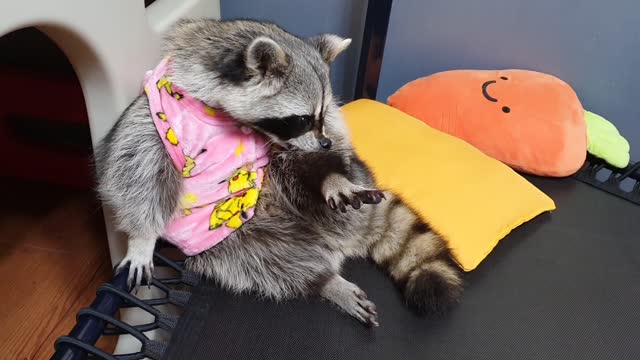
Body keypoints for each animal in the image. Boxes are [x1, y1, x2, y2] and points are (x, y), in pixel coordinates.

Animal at [95, 19, 462, 326]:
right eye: (301, 118)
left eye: (322, 114)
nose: (325, 144)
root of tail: (329, 240)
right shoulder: (156, 117)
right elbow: (134, 171)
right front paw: (141, 239)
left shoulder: (286, 143)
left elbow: (303, 155)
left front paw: (330, 173)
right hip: (235, 239)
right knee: (265, 261)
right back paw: (324, 281)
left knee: (294, 172)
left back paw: (329, 184)